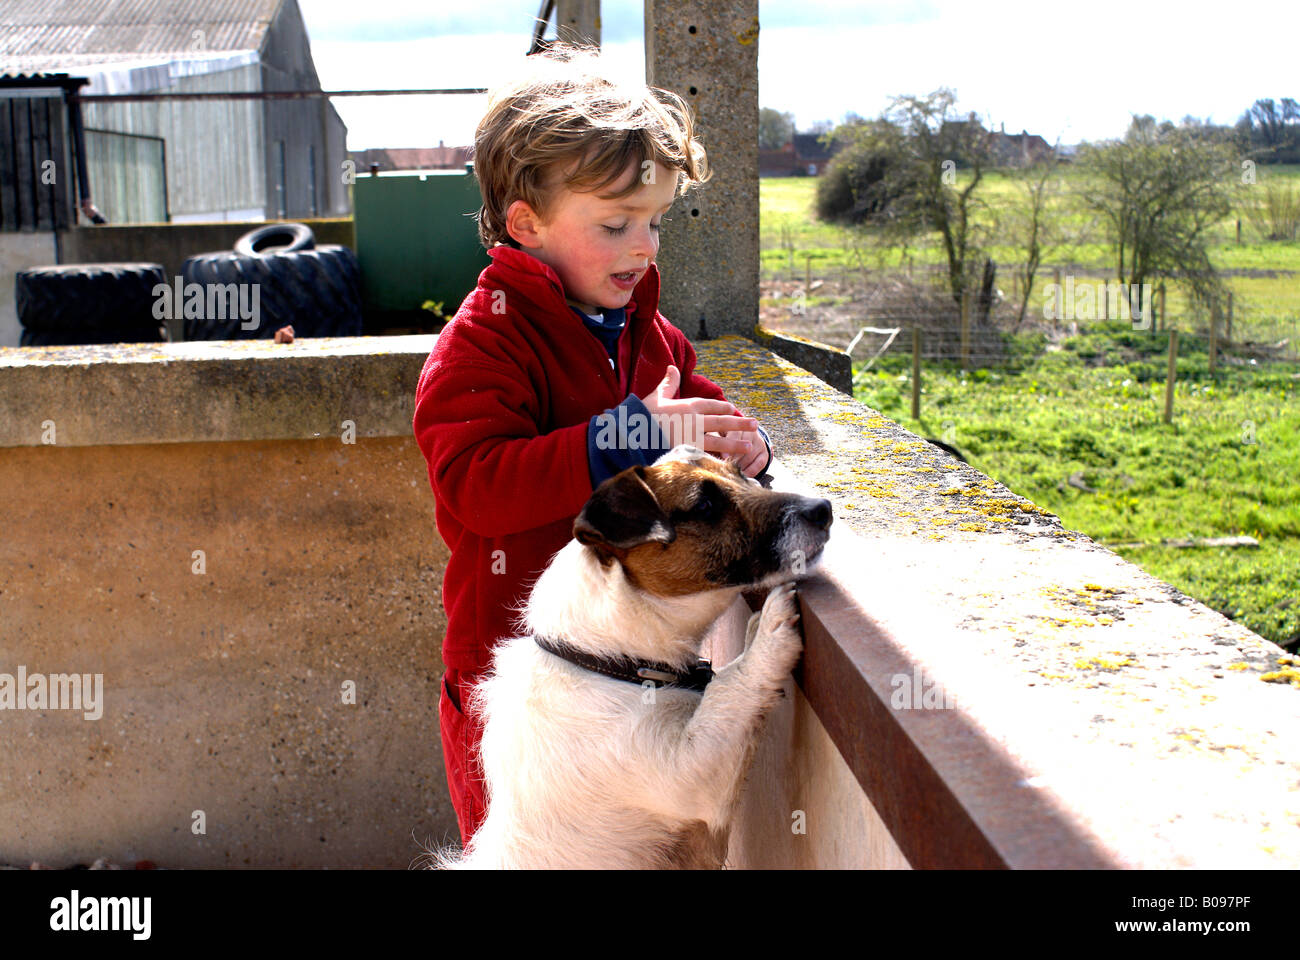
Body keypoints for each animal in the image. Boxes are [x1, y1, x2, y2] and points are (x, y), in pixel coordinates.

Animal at [431, 444, 826, 863]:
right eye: (705, 506)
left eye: (741, 474)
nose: (824, 509)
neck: (605, 660)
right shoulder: (690, 770)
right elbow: (730, 688)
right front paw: (769, 631)